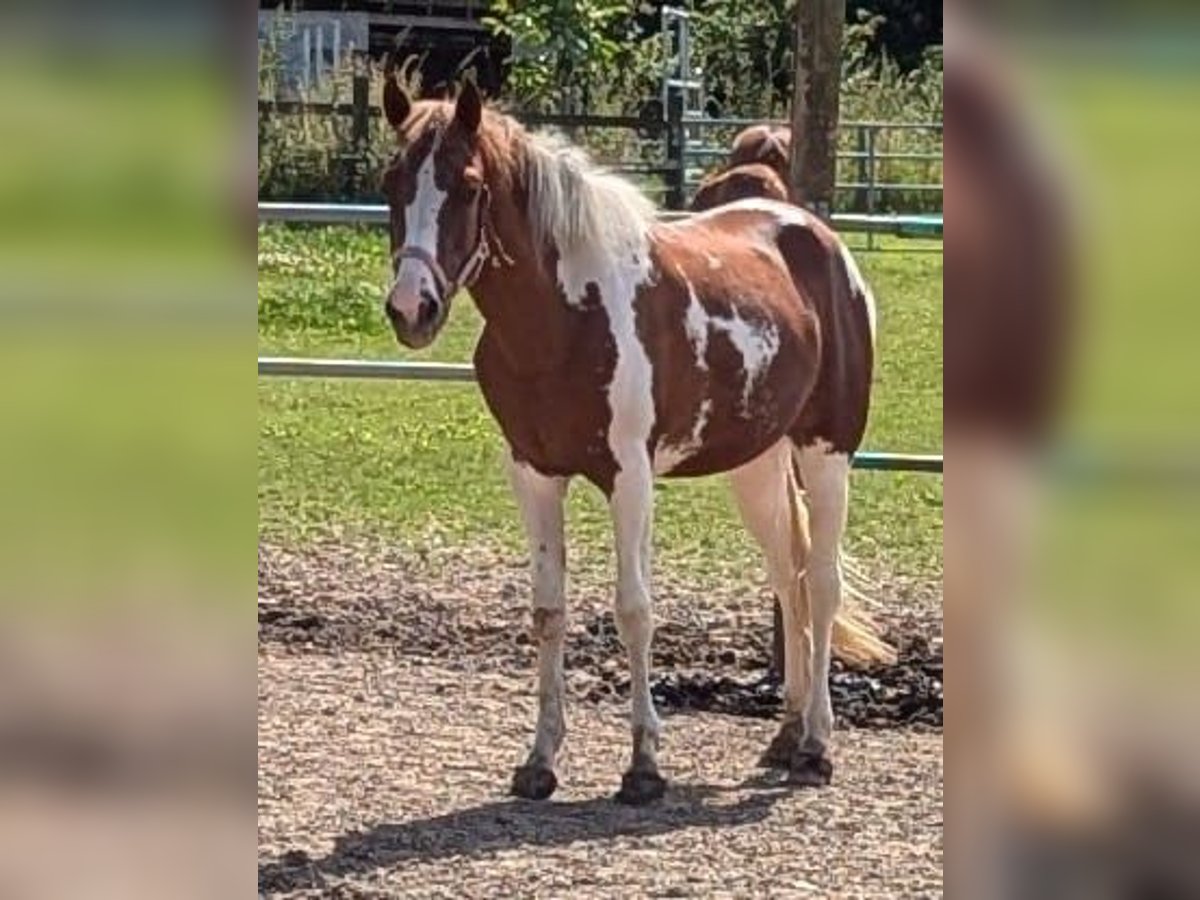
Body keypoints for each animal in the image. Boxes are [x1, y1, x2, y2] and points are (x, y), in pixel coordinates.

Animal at [379, 77, 888, 806]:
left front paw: (644, 765)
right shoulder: (533, 474)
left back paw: (817, 746)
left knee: (820, 583)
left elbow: (634, 610)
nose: (410, 308)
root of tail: (822, 241)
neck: (561, 322)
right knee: (786, 579)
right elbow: (548, 611)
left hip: (827, 452)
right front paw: (539, 762)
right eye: (392, 179)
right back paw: (787, 734)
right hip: (758, 466)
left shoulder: (631, 478)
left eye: (469, 185)